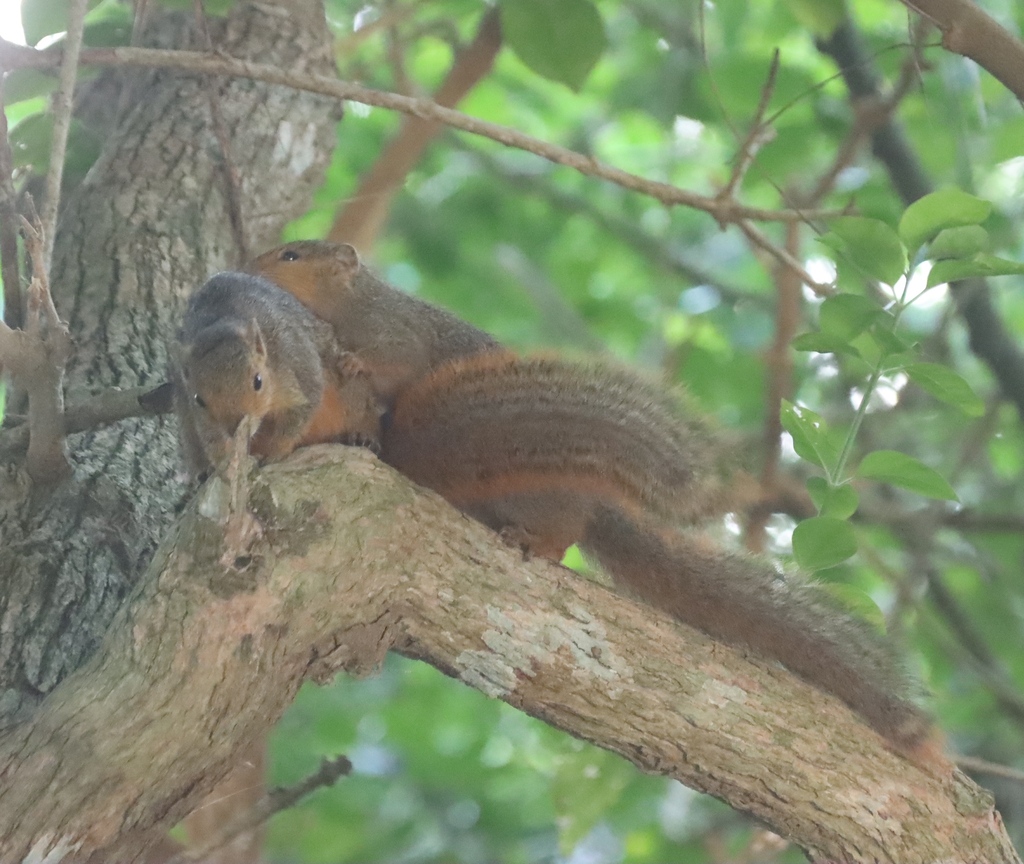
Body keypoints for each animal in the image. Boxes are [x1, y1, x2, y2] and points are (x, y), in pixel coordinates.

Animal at [170, 271, 380, 479]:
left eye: (258, 381)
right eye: (198, 399)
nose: (234, 429)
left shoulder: (297, 365)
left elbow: (297, 418)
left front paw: (275, 453)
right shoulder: (200, 415)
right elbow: (212, 439)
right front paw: (224, 465)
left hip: (348, 390)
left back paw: (361, 435)